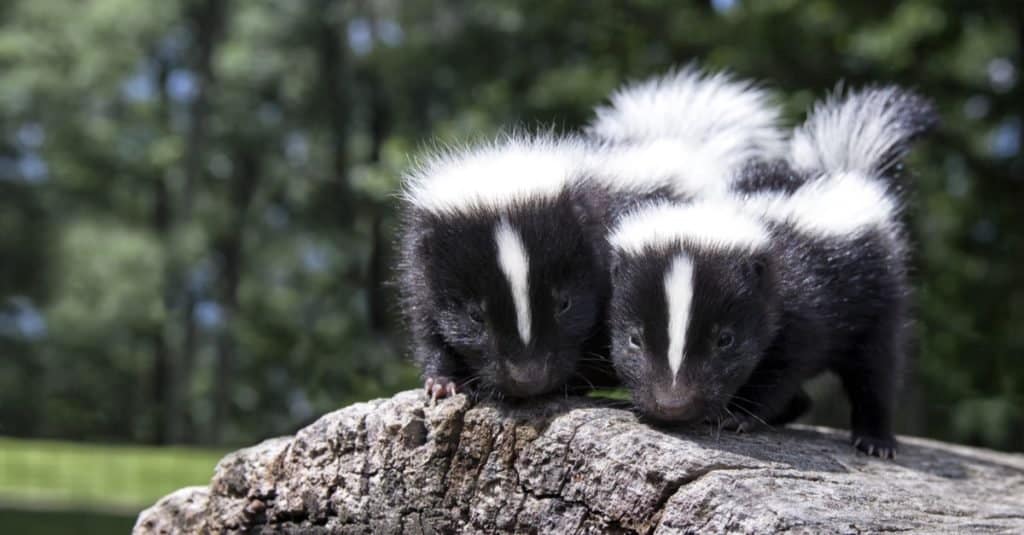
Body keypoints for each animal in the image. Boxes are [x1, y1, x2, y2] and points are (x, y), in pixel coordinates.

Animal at [393, 133, 614, 399]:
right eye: (474, 315)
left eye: (565, 303)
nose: (529, 377)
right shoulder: (420, 274)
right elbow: (428, 328)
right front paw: (443, 382)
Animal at [606, 85, 937, 455]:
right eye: (634, 339)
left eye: (725, 339)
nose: (673, 404)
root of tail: (845, 170)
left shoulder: (802, 304)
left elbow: (783, 366)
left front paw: (737, 415)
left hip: (879, 293)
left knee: (876, 367)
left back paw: (875, 438)